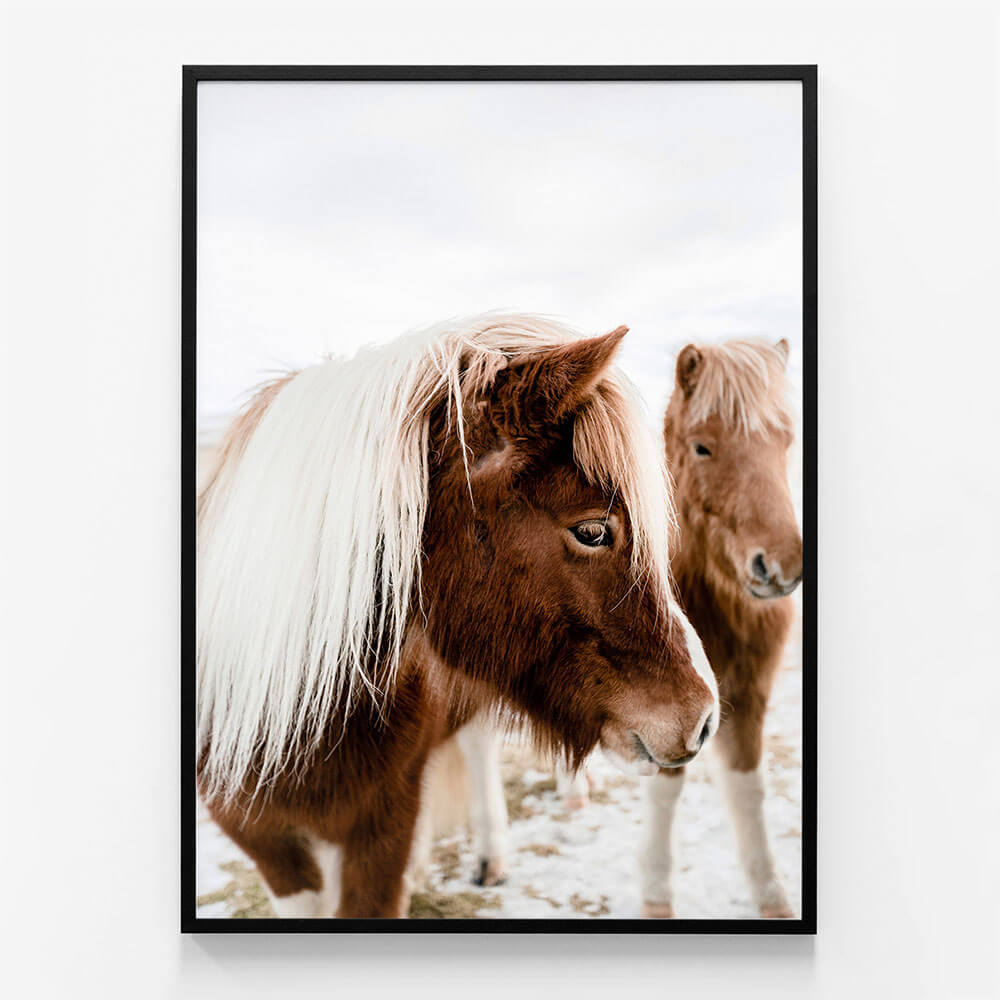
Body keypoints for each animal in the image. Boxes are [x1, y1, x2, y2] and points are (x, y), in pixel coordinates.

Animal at [640, 337, 802, 918]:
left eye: (785, 440)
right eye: (703, 448)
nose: (781, 566)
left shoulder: (749, 694)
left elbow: (749, 789)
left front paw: (772, 896)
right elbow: (666, 789)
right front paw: (656, 896)